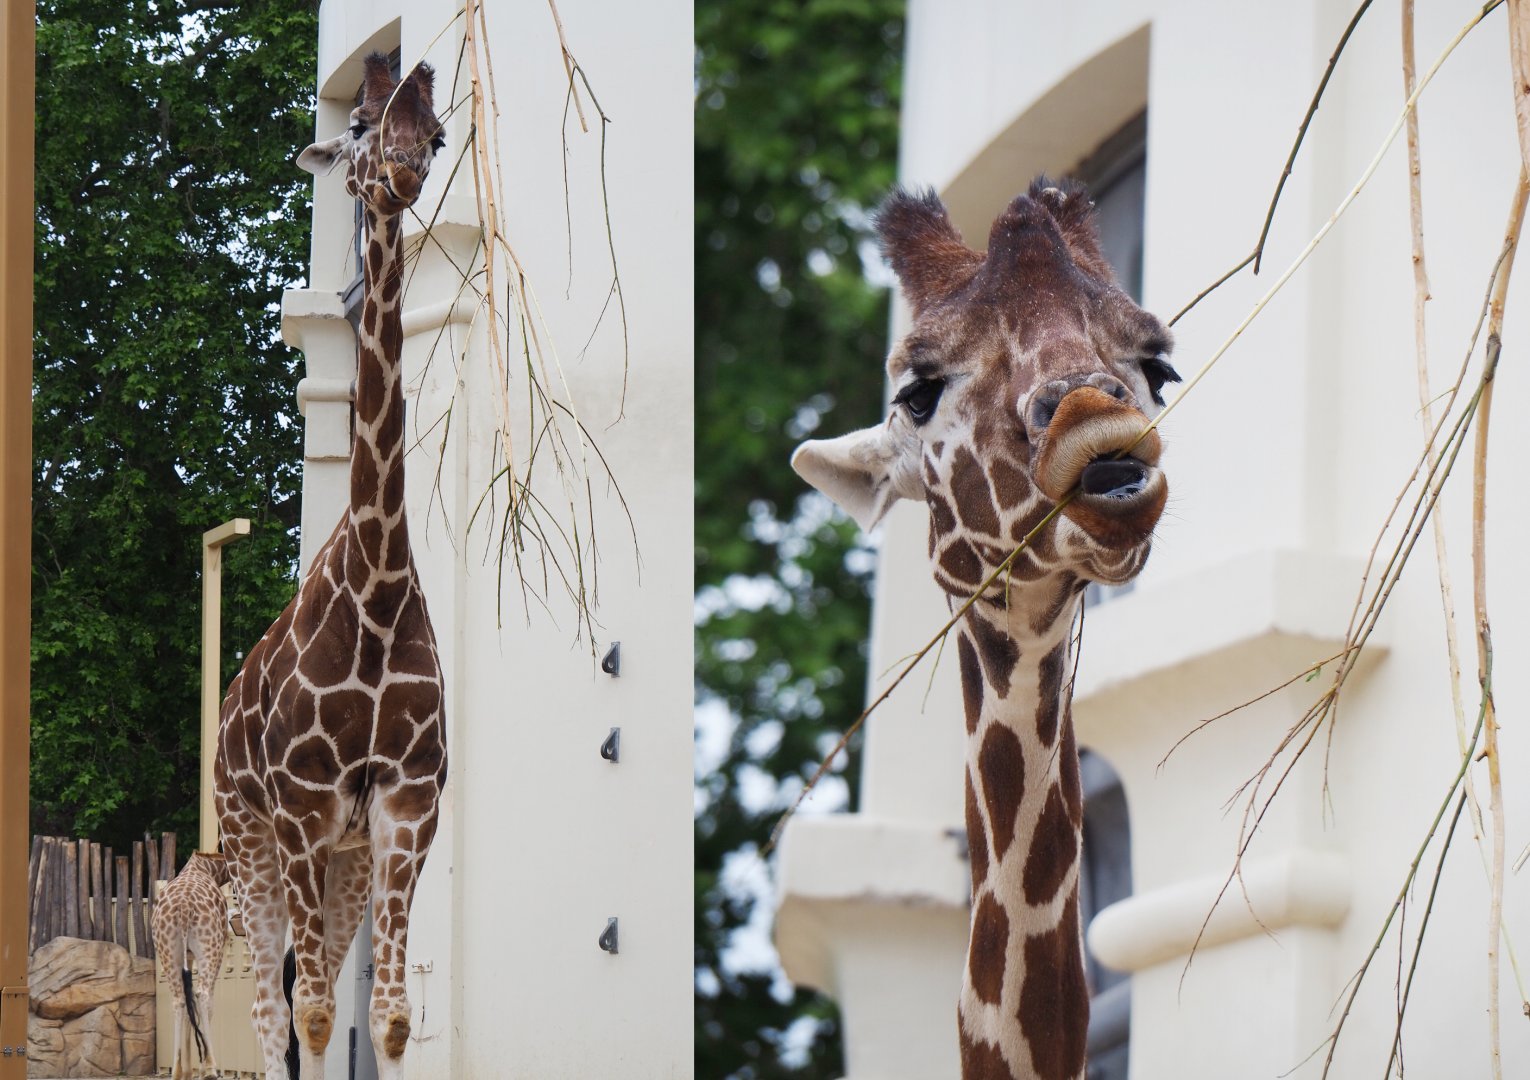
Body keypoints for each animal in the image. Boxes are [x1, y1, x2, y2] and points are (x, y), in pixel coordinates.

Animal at [151, 851, 231, 1080]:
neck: (206, 867)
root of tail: (184, 907)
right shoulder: (217, 951)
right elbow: (206, 1002)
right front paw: (203, 1067)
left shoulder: (188, 954)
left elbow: (188, 1007)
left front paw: (188, 1070)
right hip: (209, 948)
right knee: (202, 995)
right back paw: (211, 1066)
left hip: (168, 952)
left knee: (179, 1001)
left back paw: (177, 1070)